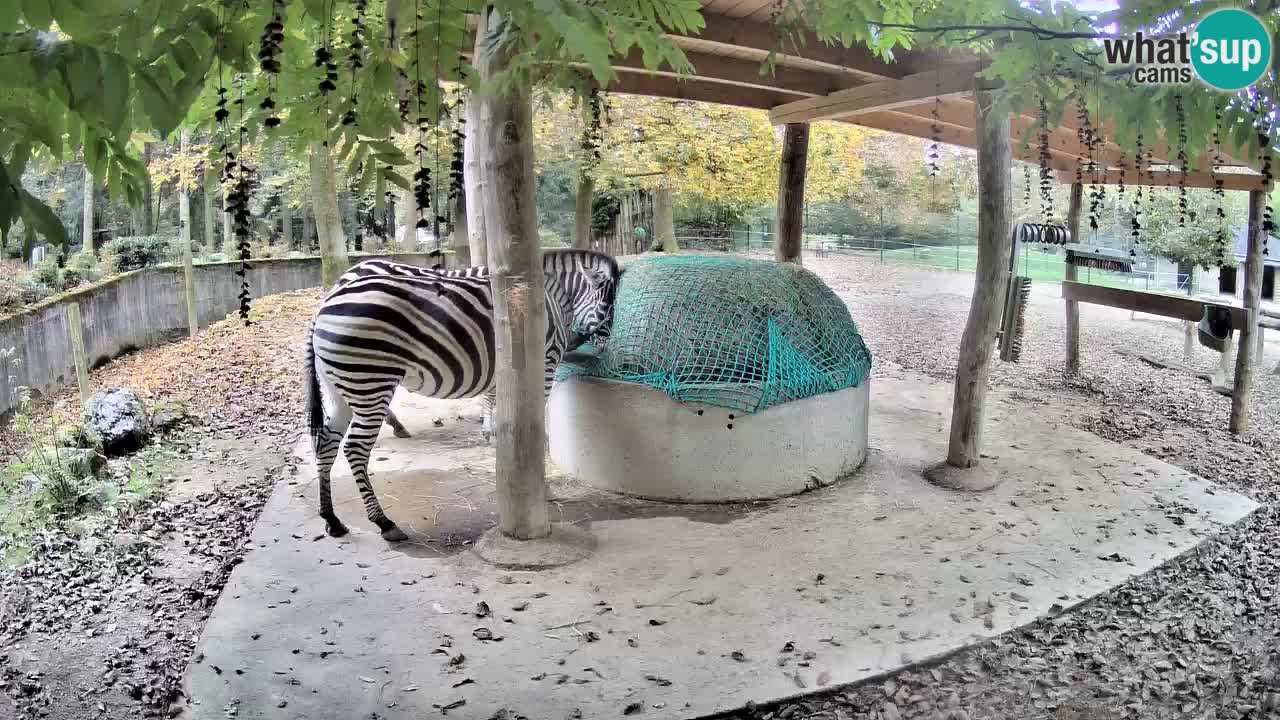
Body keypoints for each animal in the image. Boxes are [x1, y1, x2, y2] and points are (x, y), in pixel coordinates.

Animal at [300, 245, 619, 538]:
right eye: (608, 310)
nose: (602, 350)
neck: (550, 296)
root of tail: (326, 302)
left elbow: (499, 408)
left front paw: (498, 447)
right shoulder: (543, 368)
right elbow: (533, 426)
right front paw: (541, 485)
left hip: (341, 386)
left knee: (327, 442)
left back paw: (332, 519)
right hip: (370, 382)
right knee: (354, 448)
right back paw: (384, 522)